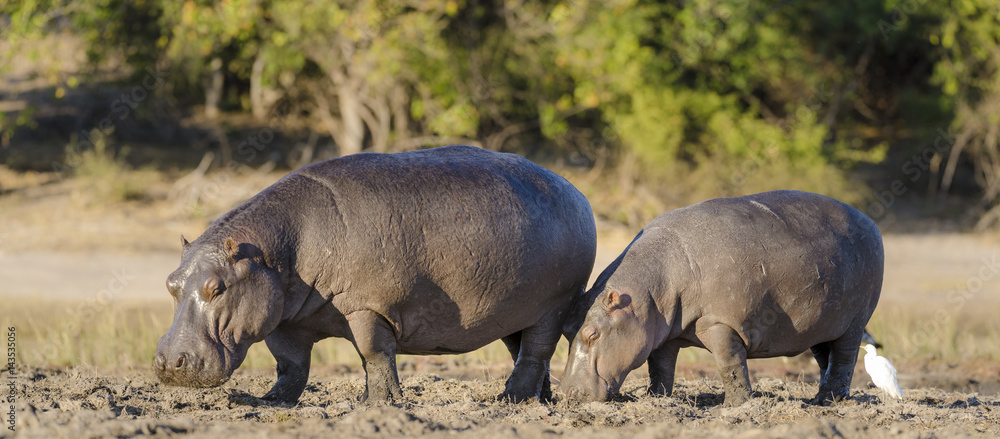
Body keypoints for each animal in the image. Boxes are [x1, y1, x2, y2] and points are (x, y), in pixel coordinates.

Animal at [152, 146, 596, 404]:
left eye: (217, 287)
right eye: (171, 284)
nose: (169, 362)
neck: (275, 248)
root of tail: (575, 190)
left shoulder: (367, 307)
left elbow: (374, 355)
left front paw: (381, 404)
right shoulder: (283, 317)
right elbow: (290, 365)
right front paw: (270, 401)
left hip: (553, 306)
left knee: (535, 353)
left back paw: (508, 401)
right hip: (514, 313)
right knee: (525, 353)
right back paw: (539, 402)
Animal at [560, 191, 880, 408]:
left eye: (592, 334)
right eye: (565, 330)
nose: (566, 393)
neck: (649, 291)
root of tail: (870, 221)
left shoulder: (719, 324)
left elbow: (730, 365)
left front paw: (737, 406)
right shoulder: (663, 334)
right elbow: (659, 368)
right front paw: (657, 400)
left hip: (856, 322)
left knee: (845, 359)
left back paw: (830, 400)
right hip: (822, 323)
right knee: (826, 357)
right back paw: (819, 399)